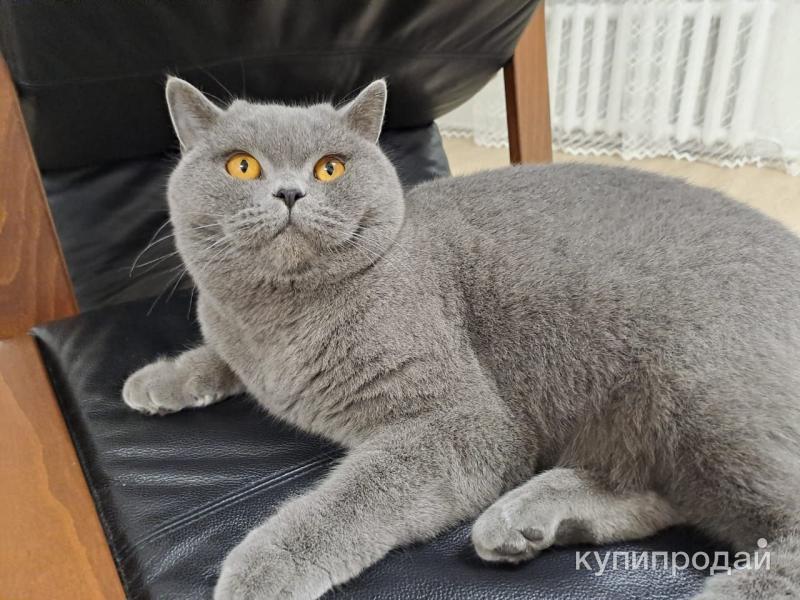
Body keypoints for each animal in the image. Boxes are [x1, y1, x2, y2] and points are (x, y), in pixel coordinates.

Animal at [123, 77, 800, 600]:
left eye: (330, 167)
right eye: (242, 164)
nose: (290, 191)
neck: (278, 324)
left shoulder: (465, 423)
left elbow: (353, 498)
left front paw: (261, 567)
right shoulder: (236, 334)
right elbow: (216, 355)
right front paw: (158, 380)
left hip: (699, 392)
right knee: (658, 495)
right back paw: (527, 521)